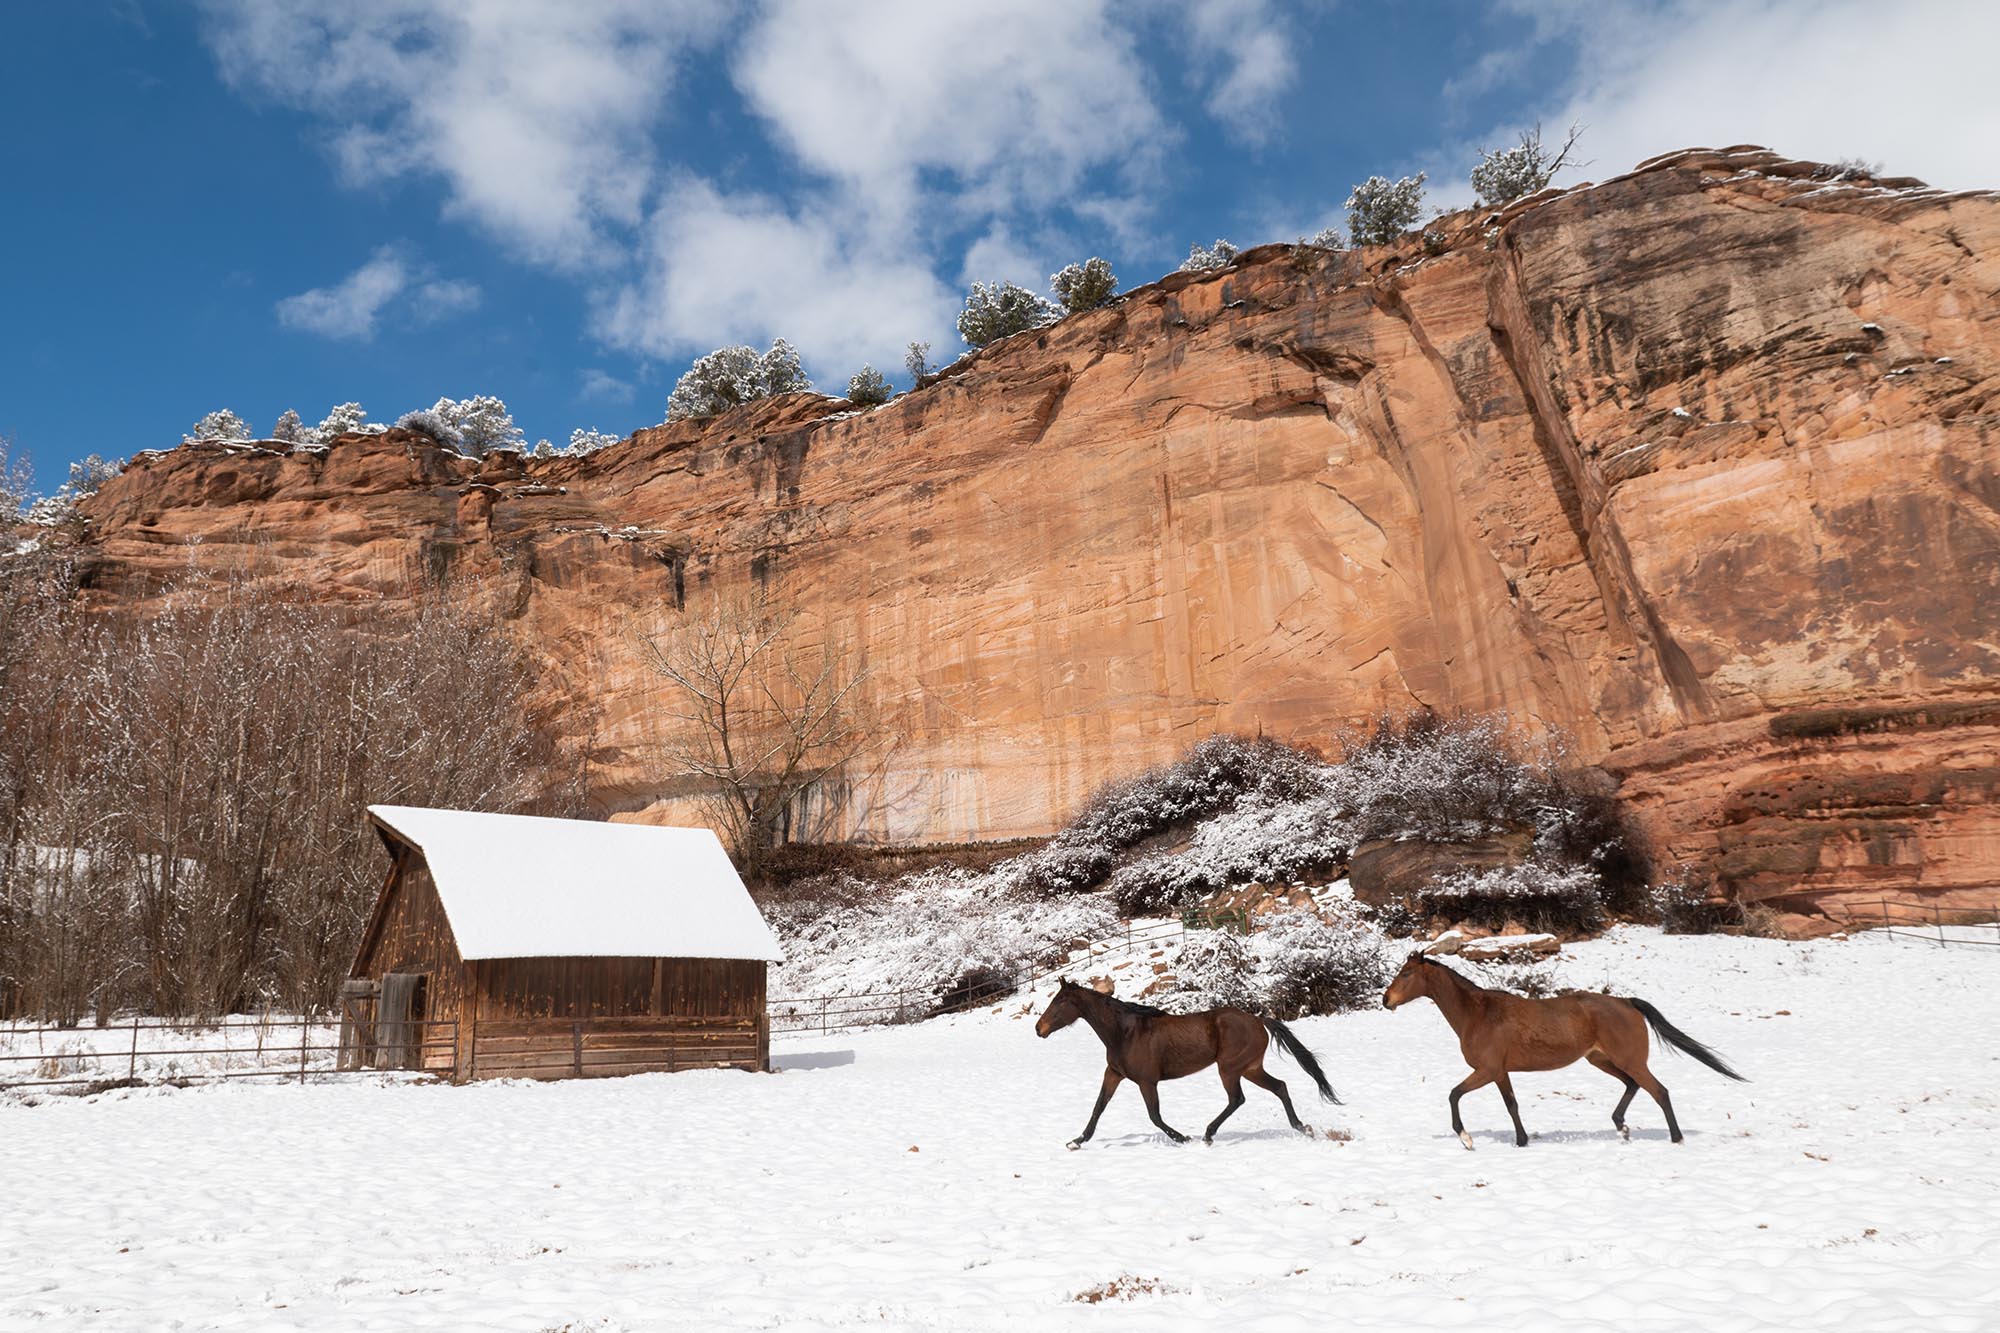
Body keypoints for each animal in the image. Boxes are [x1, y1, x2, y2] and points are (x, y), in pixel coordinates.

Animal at [1034, 979, 1340, 1148]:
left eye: (1059, 1001)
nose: (1039, 1028)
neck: (1124, 1032)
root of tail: (1258, 1020)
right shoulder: (1114, 1074)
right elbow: (1099, 1107)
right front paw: (1076, 1141)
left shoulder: (1147, 1081)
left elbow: (1154, 1116)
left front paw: (1182, 1138)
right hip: (1251, 1068)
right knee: (1280, 1087)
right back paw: (1302, 1127)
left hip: (1229, 1069)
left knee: (1237, 1099)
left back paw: (1207, 1134)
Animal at [1382, 950, 1746, 1149]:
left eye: (1407, 972)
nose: (1386, 1000)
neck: (1479, 1014)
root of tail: (1627, 1002)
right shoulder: (1500, 1072)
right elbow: (1512, 1105)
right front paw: (1522, 1140)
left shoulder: (1487, 1070)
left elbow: (1454, 1094)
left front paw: (1466, 1138)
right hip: (1602, 1060)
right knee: (1633, 1086)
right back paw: (1622, 1128)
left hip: (1629, 1060)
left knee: (1659, 1091)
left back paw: (1675, 1138)